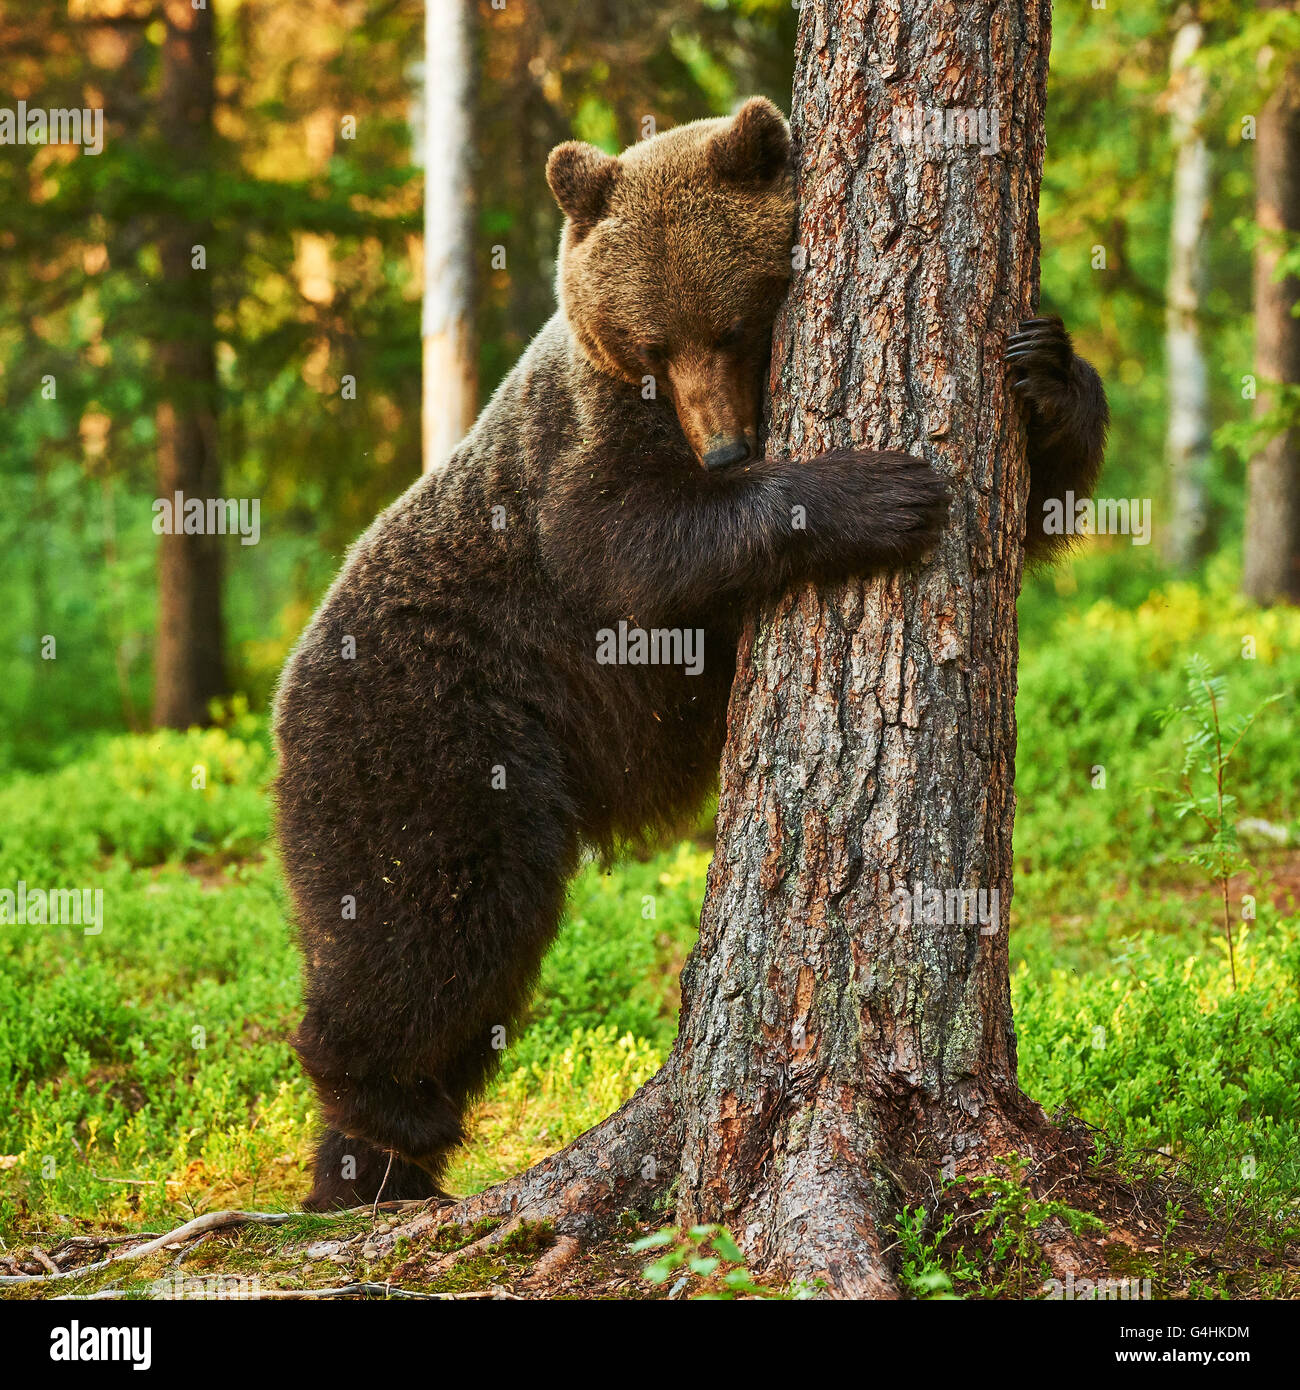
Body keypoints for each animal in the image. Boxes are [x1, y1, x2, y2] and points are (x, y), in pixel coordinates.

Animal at [273, 95, 1106, 1206]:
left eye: (734, 323)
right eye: (650, 343)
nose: (725, 449)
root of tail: (286, 689)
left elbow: (1037, 491)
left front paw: (1044, 368)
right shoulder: (574, 459)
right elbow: (624, 540)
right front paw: (876, 492)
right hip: (431, 726)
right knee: (431, 916)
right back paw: (375, 1133)